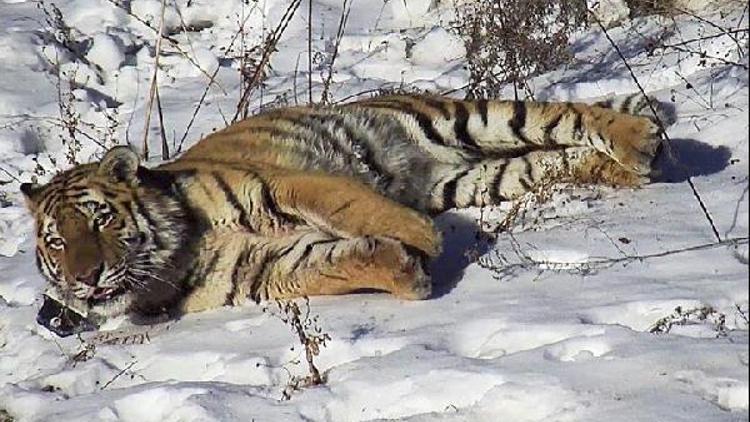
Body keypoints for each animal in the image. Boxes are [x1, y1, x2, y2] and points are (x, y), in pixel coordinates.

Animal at [22, 93, 664, 336]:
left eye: (100, 220)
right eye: (57, 242)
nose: (83, 278)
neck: (174, 257)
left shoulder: (279, 182)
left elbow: (350, 205)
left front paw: (423, 240)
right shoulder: (263, 266)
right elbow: (332, 264)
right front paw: (405, 271)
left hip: (454, 119)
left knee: (558, 114)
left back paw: (639, 140)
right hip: (471, 179)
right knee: (557, 158)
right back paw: (621, 167)